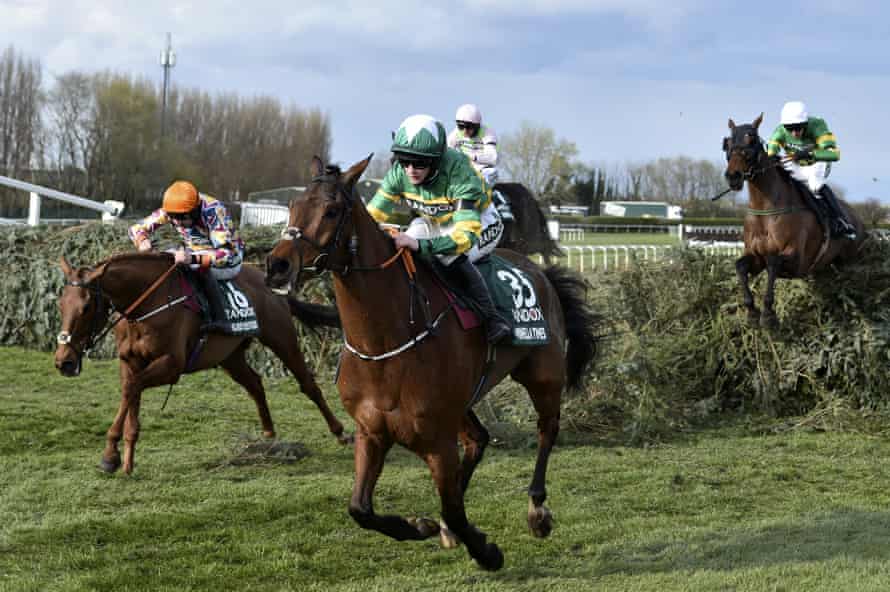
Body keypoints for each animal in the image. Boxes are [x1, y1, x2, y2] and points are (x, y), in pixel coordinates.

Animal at [53, 252, 348, 474]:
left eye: (87, 307)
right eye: (60, 304)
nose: (64, 362)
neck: (147, 305)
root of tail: (271, 285)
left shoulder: (171, 365)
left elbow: (131, 389)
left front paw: (110, 455)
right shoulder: (131, 362)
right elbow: (131, 394)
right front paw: (123, 460)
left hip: (281, 338)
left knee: (308, 384)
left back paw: (340, 432)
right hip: (229, 356)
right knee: (254, 383)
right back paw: (268, 435)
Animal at [264, 156, 596, 568]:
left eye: (331, 211)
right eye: (293, 206)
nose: (276, 265)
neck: (385, 344)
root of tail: (539, 271)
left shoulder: (438, 441)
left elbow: (453, 506)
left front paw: (485, 551)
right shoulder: (372, 431)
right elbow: (360, 508)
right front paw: (421, 526)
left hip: (543, 375)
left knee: (547, 430)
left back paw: (537, 511)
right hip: (463, 401)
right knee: (478, 439)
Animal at [720, 114, 860, 328]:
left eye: (751, 140)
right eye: (727, 143)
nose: (732, 176)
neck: (766, 210)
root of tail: (857, 218)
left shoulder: (798, 261)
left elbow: (773, 262)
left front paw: (768, 314)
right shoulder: (756, 256)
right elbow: (741, 266)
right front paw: (751, 312)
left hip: (849, 260)